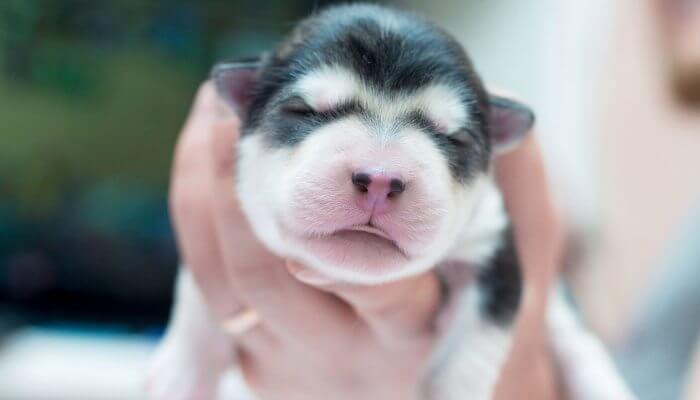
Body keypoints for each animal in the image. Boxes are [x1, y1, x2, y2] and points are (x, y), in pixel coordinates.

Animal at [150, 3, 636, 400]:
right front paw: (177, 379)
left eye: (454, 138)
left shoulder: (490, 247)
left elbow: (467, 353)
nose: (381, 179)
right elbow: (197, 304)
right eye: (304, 111)